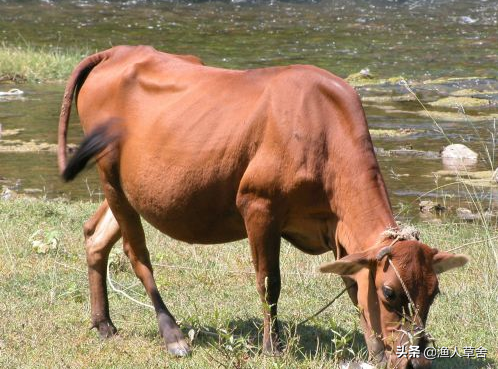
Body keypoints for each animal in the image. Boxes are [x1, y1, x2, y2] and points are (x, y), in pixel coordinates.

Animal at [57, 46, 466, 368]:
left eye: (434, 293)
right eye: (390, 293)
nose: (415, 361)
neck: (322, 128)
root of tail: (117, 52)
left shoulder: (338, 230)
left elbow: (353, 285)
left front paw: (375, 352)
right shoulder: (258, 205)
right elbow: (269, 282)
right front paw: (273, 347)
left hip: (129, 188)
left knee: (96, 235)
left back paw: (103, 323)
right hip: (110, 175)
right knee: (136, 252)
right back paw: (172, 335)